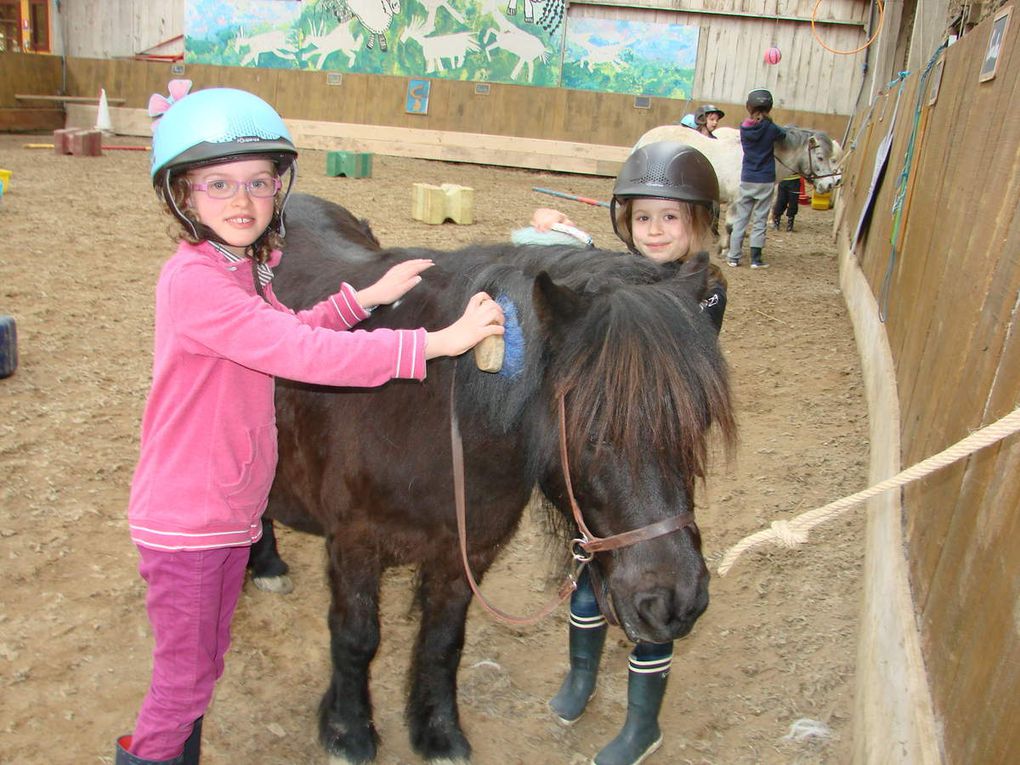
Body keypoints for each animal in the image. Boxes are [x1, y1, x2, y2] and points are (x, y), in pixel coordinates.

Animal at [250, 194, 738, 762]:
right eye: (593, 431)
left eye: (696, 422)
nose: (676, 603)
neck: (432, 409)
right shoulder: (354, 543)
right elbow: (356, 636)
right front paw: (348, 732)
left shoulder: (468, 554)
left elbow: (443, 642)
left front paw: (438, 733)